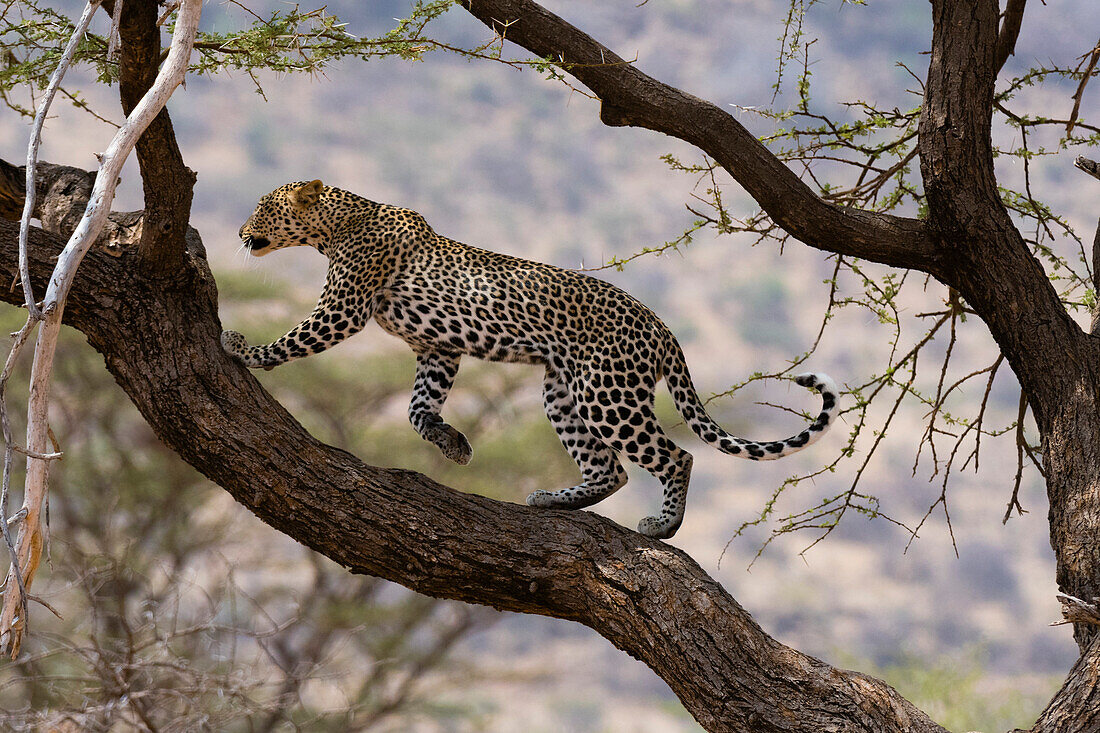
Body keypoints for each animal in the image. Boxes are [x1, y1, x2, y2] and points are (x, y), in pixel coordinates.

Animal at [223, 179, 840, 539]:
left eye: (262, 207)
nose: (240, 230)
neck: (338, 224)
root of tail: (660, 326)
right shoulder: (437, 349)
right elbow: (418, 409)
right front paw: (454, 444)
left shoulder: (345, 307)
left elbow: (295, 340)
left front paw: (244, 350)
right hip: (563, 391)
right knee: (611, 469)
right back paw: (553, 501)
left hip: (609, 393)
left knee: (675, 457)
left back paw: (662, 526)